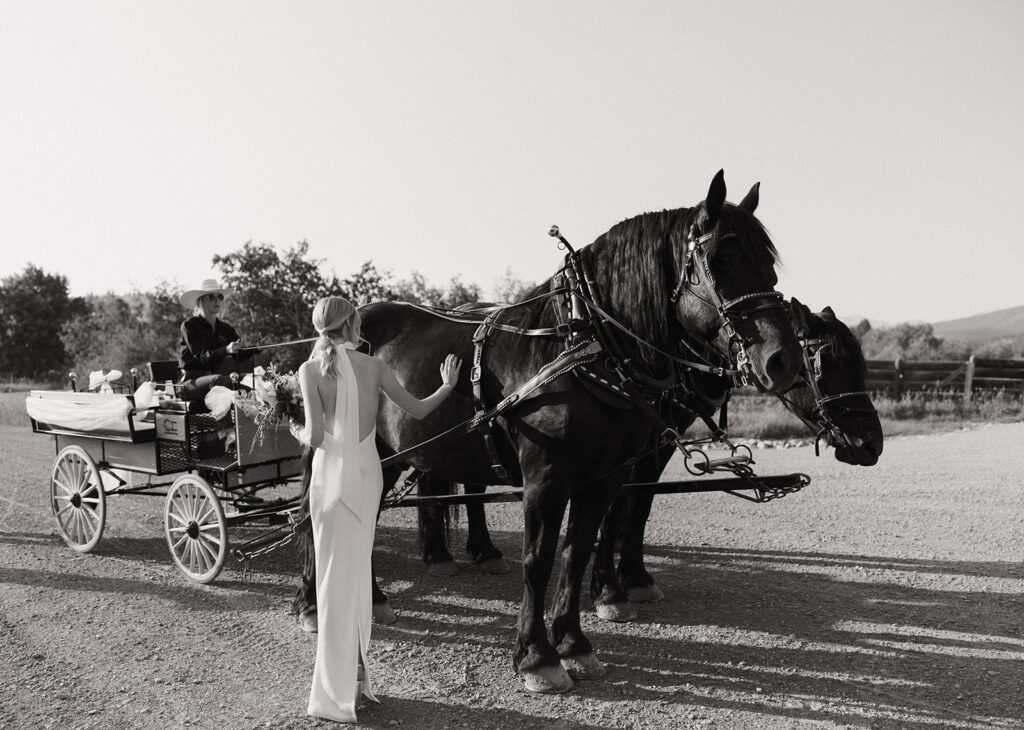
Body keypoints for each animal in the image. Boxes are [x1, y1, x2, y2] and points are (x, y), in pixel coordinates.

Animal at [296, 172, 798, 696]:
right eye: (723, 258)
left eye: (769, 264)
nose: (782, 360)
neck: (583, 348)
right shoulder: (546, 480)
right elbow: (538, 560)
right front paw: (537, 655)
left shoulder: (603, 479)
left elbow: (576, 552)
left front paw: (574, 642)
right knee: (316, 514)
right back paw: (313, 605)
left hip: (387, 458)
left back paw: (370, 599)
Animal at [589, 298, 884, 618]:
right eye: (826, 362)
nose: (873, 443)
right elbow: (615, 506)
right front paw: (608, 591)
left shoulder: (663, 440)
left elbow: (640, 502)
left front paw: (635, 577)